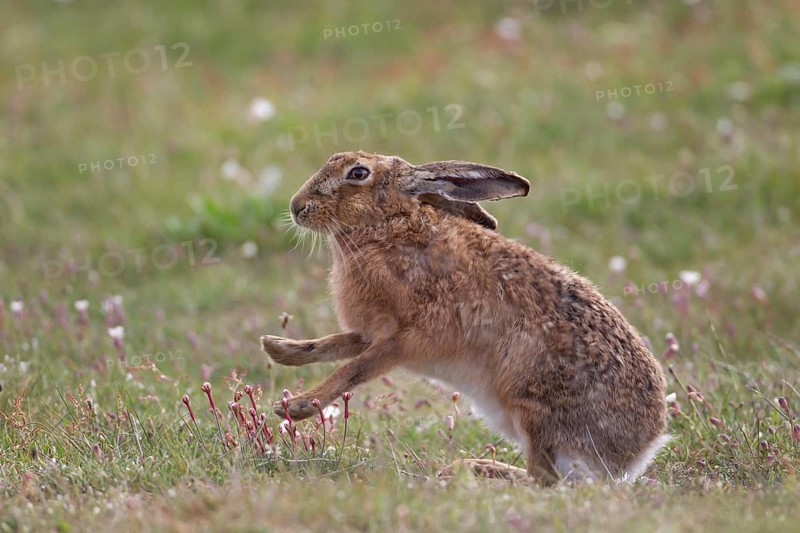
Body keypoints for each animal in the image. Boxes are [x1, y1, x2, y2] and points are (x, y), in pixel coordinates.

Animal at [261, 150, 668, 484]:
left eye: (358, 173)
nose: (297, 207)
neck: (387, 227)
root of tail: (639, 452)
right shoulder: (371, 331)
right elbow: (333, 345)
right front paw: (278, 349)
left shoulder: (406, 339)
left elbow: (353, 369)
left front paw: (295, 407)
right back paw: (470, 467)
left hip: (531, 404)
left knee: (544, 481)